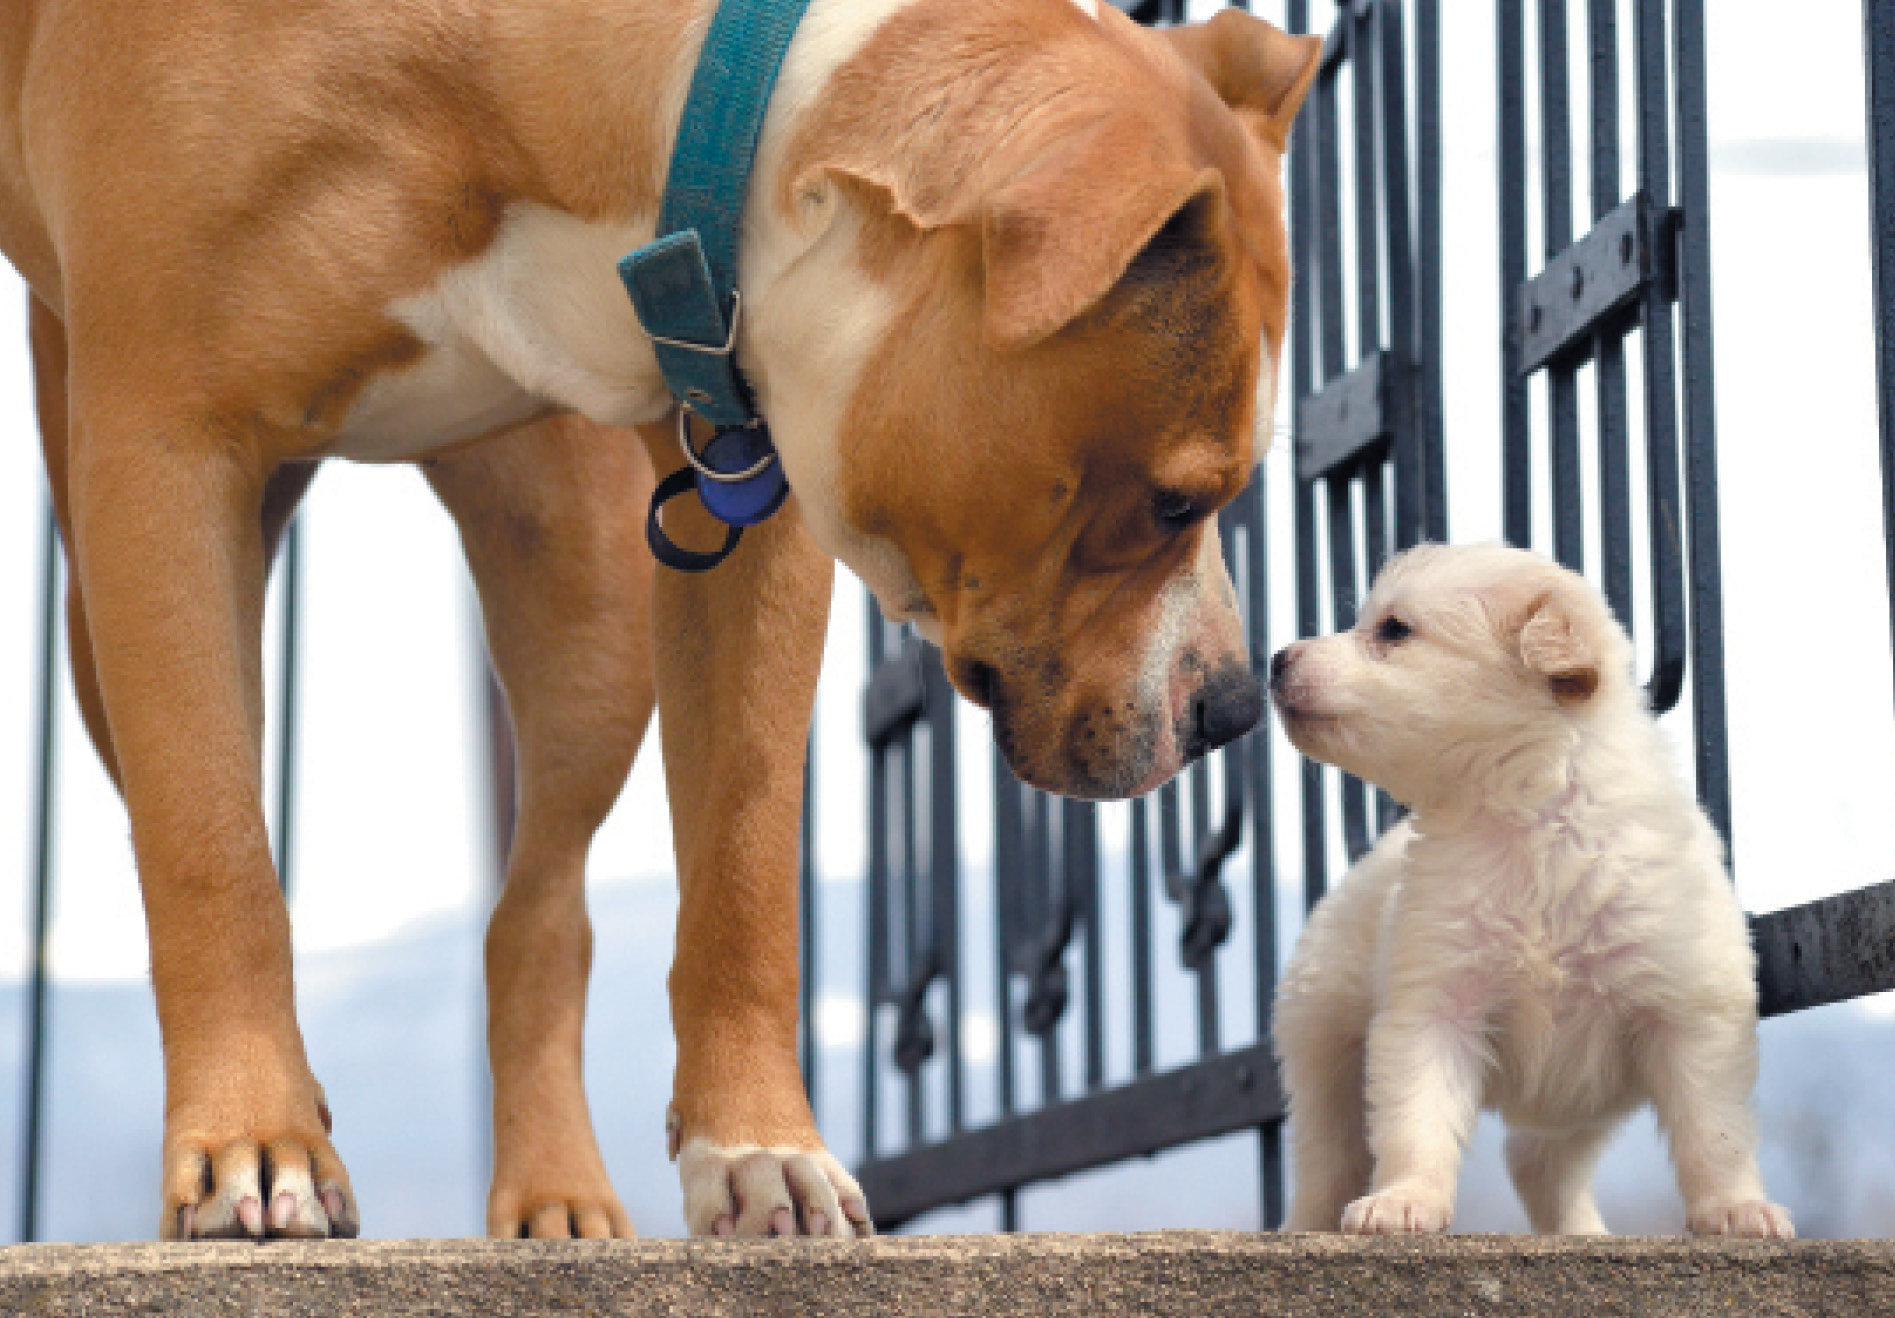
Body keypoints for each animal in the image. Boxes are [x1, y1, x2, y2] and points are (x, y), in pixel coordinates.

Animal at [3, 0, 1318, 1234]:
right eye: (1175, 499)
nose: (1230, 705)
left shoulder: (753, 474)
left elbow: (743, 850)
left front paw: (756, 1149)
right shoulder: (161, 456)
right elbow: (209, 844)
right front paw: (254, 1139)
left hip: (582, 608)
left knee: (537, 912)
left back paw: (553, 1192)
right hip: (101, 611)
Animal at [1265, 541, 1781, 1234]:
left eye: (1394, 630)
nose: (1277, 659)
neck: (1528, 820)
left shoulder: (1689, 1011)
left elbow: (1713, 1130)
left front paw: (1736, 1208)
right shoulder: (1434, 1004)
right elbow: (1416, 1119)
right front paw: (1405, 1200)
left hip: (1583, 1098)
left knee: (1539, 1162)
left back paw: (1583, 1234)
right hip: (1321, 1036)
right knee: (1329, 1158)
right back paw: (1304, 1227)